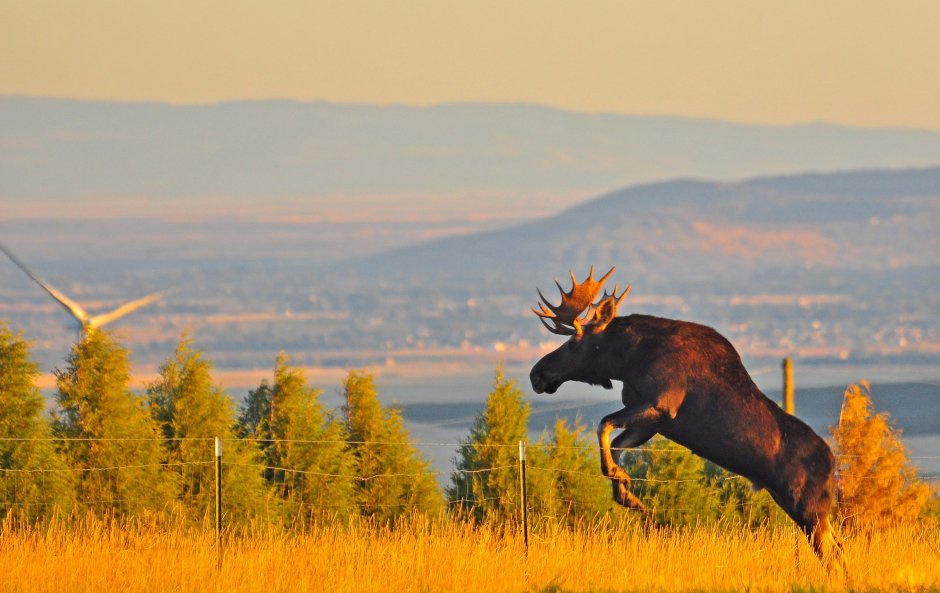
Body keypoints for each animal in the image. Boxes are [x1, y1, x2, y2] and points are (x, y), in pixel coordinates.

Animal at [528, 266, 844, 568]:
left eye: (574, 342)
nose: (536, 373)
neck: (628, 361)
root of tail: (833, 464)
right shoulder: (654, 422)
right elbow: (616, 442)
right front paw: (626, 493)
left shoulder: (661, 404)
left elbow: (603, 424)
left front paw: (620, 480)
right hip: (794, 504)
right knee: (839, 548)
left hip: (808, 508)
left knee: (831, 555)